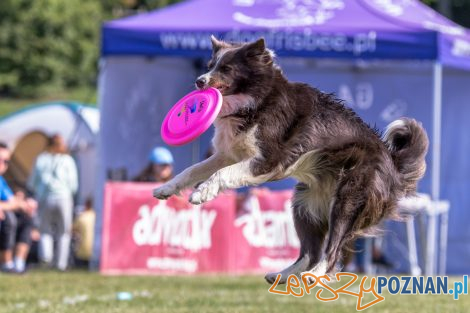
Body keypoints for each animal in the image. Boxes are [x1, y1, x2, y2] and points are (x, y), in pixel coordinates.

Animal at [154, 36, 430, 282]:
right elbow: (192, 170)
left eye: (226, 68)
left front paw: (202, 193)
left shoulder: (268, 159)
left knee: (333, 250)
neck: (256, 102)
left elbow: (222, 174)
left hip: (347, 202)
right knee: (310, 251)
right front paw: (166, 188)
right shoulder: (228, 154)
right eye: (210, 65)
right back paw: (283, 275)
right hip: (305, 205)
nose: (199, 81)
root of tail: (393, 163)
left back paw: (315, 275)